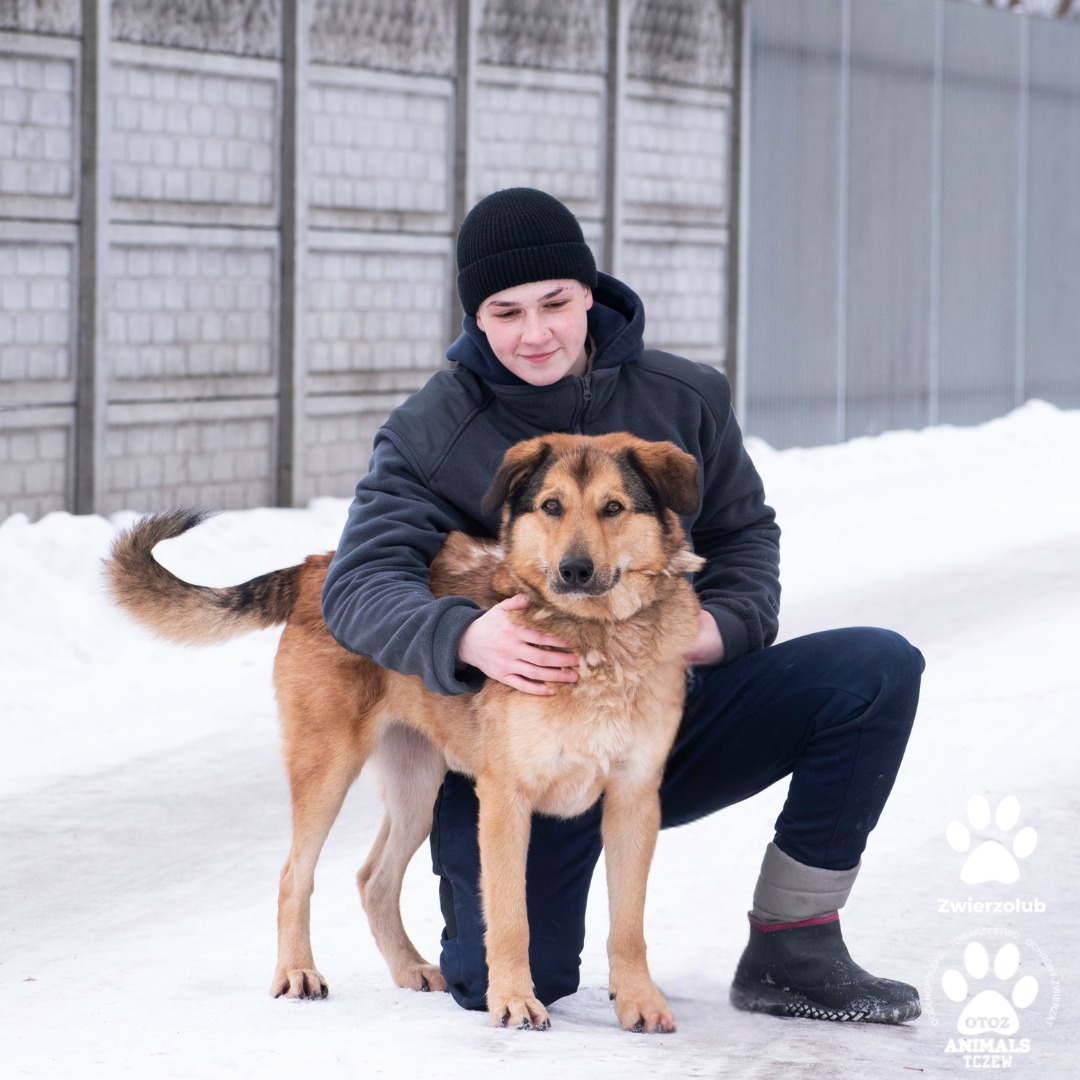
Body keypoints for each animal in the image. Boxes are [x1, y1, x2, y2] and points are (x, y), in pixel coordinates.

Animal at [106, 432, 704, 1033]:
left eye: (614, 508)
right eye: (551, 506)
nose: (574, 570)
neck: (598, 635)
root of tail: (319, 566)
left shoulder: (633, 800)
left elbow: (629, 923)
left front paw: (638, 1001)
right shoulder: (505, 799)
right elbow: (511, 917)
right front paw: (513, 1000)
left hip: (418, 789)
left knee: (374, 879)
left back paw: (410, 966)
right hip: (327, 768)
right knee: (294, 873)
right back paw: (298, 971)